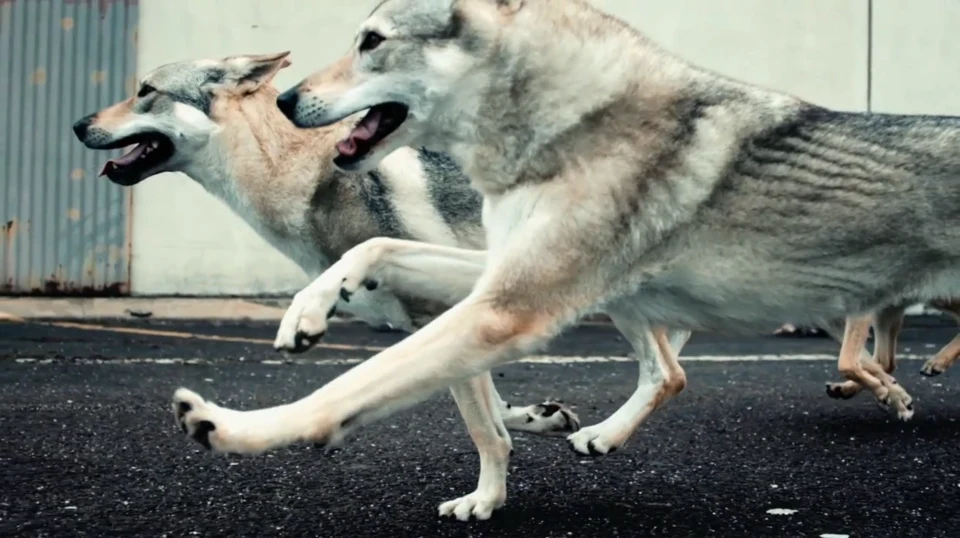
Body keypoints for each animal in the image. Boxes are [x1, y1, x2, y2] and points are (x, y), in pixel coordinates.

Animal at [170, 0, 960, 520]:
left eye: (371, 41)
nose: (285, 100)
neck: (567, 124)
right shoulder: (504, 277)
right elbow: (377, 249)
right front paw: (311, 308)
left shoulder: (508, 308)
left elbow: (344, 390)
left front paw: (234, 428)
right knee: (674, 371)